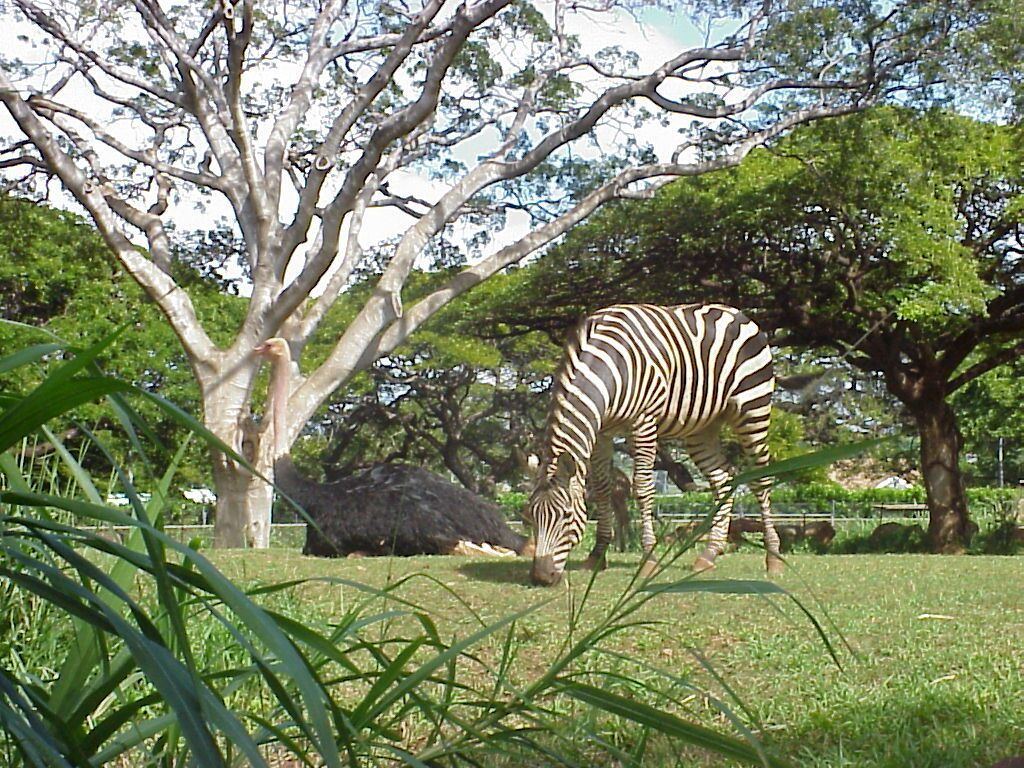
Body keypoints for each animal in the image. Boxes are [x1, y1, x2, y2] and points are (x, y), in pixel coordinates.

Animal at [528, 303, 782, 585]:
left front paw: (648, 558)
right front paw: (597, 555)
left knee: (762, 481)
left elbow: (642, 487)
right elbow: (602, 489)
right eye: (530, 516)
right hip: (701, 427)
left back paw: (773, 557)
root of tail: (737, 312)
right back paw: (709, 554)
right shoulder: (602, 432)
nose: (541, 577)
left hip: (752, 409)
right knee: (723, 478)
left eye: (566, 516)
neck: (610, 366)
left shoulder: (643, 423)